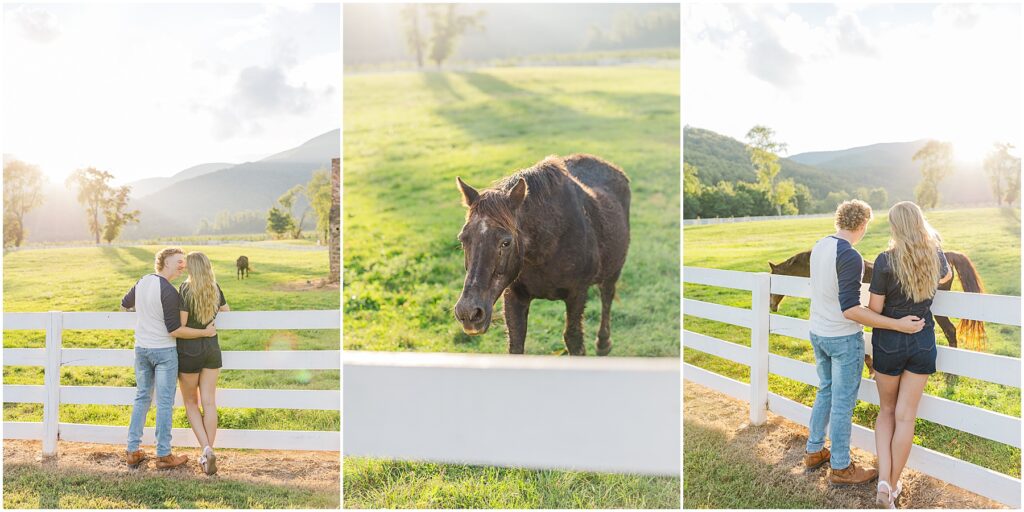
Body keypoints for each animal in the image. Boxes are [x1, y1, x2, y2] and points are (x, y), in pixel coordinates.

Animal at [454, 153, 626, 358]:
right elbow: (516, 342)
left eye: (506, 242)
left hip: (613, 271)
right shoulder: (513, 296)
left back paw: (603, 344)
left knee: (607, 296)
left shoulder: (578, 294)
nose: (468, 313)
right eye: (463, 240)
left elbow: (574, 340)